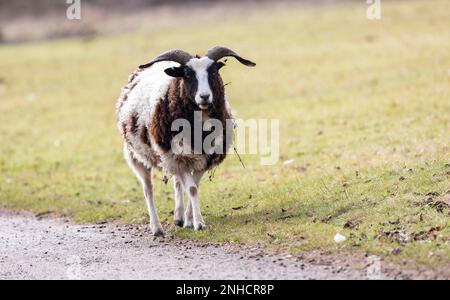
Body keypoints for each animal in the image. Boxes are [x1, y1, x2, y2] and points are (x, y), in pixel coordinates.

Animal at [116, 45, 255, 236]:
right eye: (188, 74)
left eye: (213, 71)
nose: (204, 96)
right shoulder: (177, 157)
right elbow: (192, 188)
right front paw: (199, 224)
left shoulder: (203, 158)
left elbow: (193, 186)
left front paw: (191, 220)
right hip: (139, 156)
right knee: (148, 189)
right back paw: (157, 228)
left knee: (177, 183)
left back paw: (179, 217)